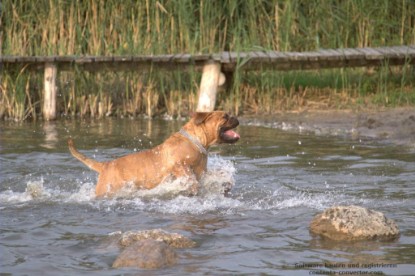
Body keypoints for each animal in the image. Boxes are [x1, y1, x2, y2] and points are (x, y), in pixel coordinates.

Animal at [66, 111, 239, 197]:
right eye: (225, 116)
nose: (236, 118)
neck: (195, 141)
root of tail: (105, 166)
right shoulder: (178, 165)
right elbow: (189, 177)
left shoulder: (203, 172)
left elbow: (219, 175)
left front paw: (226, 184)